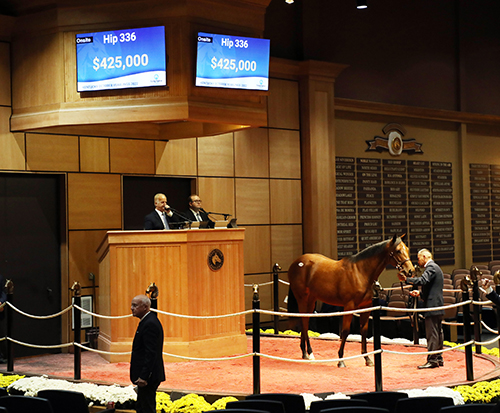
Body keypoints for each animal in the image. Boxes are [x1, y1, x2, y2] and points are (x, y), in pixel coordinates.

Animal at [288, 235, 416, 366]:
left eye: (407, 249)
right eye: (398, 251)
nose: (410, 271)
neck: (361, 272)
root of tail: (297, 262)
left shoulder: (366, 307)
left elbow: (364, 331)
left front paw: (367, 359)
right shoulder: (349, 306)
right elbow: (345, 331)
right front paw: (341, 360)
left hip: (311, 301)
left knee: (305, 322)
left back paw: (305, 353)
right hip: (302, 299)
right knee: (304, 323)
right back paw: (309, 353)